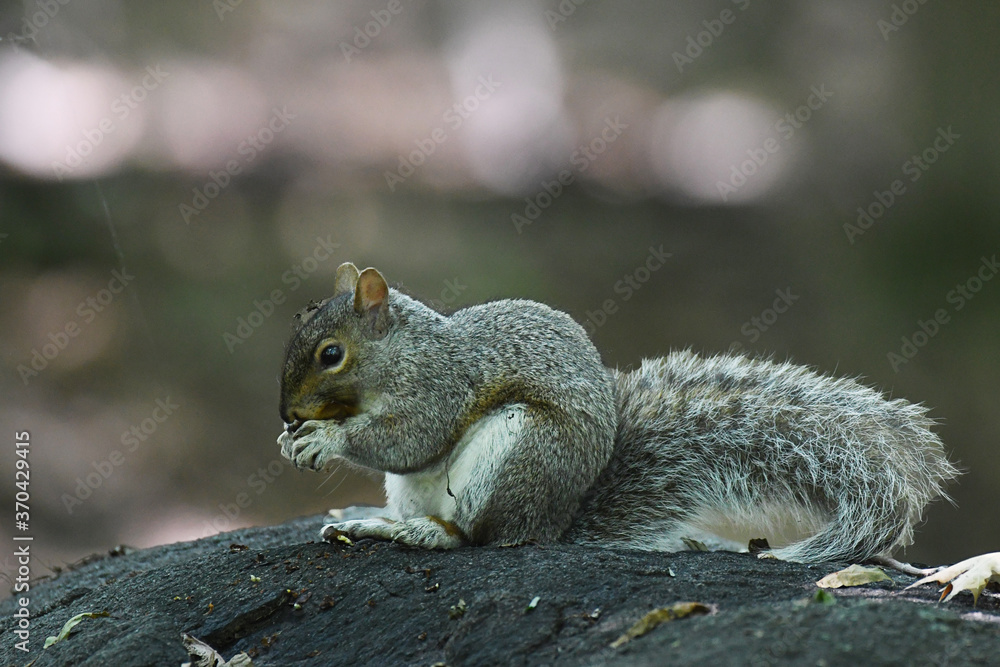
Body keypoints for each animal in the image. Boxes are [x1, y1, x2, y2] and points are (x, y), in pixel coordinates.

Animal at [277, 262, 959, 563]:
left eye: (331, 354)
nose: (285, 415)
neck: (406, 349)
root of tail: (553, 524)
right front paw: (296, 442)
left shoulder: (440, 386)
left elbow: (410, 438)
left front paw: (324, 440)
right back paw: (372, 523)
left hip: (515, 452)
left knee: (476, 536)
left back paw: (417, 533)